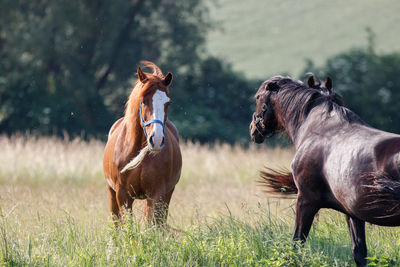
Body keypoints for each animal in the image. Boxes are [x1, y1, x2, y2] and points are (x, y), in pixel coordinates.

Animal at [104, 61, 184, 227]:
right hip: (111, 192)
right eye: (143, 101)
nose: (157, 139)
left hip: (167, 194)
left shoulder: (156, 193)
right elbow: (127, 226)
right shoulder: (123, 195)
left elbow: (152, 225)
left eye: (168, 103)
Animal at [250, 76, 400, 267]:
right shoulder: (352, 213)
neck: (318, 127)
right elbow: (359, 253)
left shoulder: (306, 201)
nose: (253, 129)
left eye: (258, 97)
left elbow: (296, 243)